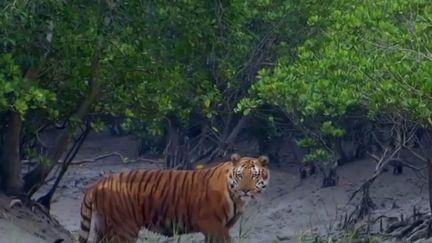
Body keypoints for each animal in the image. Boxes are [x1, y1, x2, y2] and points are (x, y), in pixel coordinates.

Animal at [76, 154, 268, 243]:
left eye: (254, 175)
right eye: (240, 175)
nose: (245, 190)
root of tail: (97, 183)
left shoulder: (222, 227)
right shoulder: (212, 224)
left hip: (103, 226)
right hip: (125, 228)